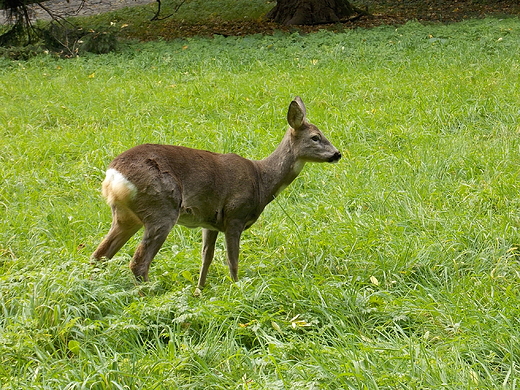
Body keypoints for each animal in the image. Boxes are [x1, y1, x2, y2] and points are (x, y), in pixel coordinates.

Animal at [91, 96, 342, 294]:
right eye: (315, 137)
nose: (337, 154)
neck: (261, 180)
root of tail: (113, 175)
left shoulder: (209, 222)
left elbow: (206, 257)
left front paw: (199, 291)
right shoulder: (235, 215)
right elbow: (233, 260)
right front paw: (237, 288)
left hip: (126, 216)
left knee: (99, 255)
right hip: (161, 209)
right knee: (138, 262)